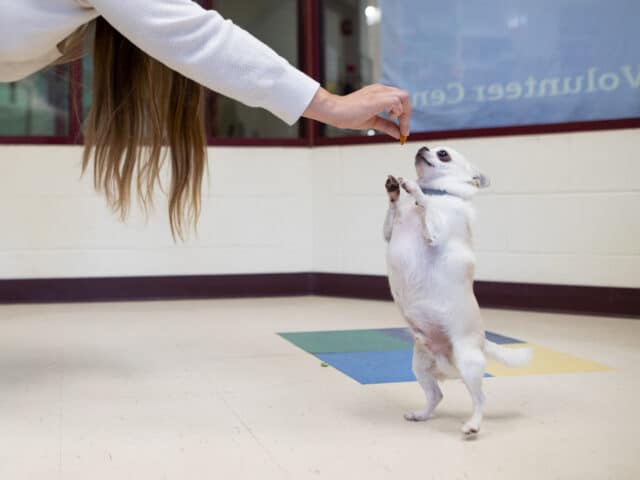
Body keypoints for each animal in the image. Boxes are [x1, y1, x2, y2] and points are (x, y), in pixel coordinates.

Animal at [382, 144, 532, 434]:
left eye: (443, 155)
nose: (422, 146)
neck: (438, 193)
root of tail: (483, 342)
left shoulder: (435, 233)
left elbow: (426, 205)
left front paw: (413, 190)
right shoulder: (388, 233)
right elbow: (392, 217)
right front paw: (394, 190)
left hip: (468, 363)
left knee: (480, 398)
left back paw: (473, 425)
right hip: (421, 366)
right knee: (436, 395)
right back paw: (421, 415)